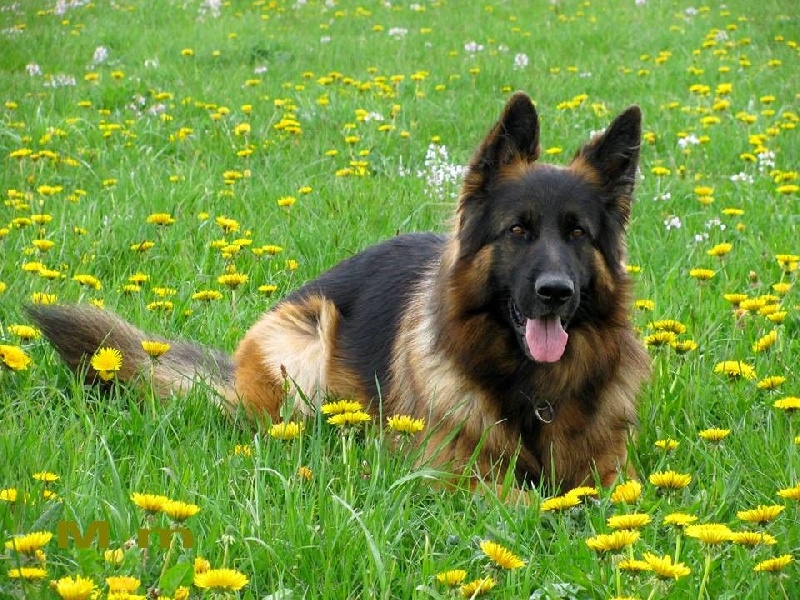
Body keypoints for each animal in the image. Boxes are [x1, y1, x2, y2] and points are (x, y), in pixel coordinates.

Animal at [28, 94, 648, 494]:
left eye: (578, 234)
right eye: (518, 230)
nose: (555, 293)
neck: (532, 391)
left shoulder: (617, 475)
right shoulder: (456, 476)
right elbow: (529, 503)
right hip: (306, 348)